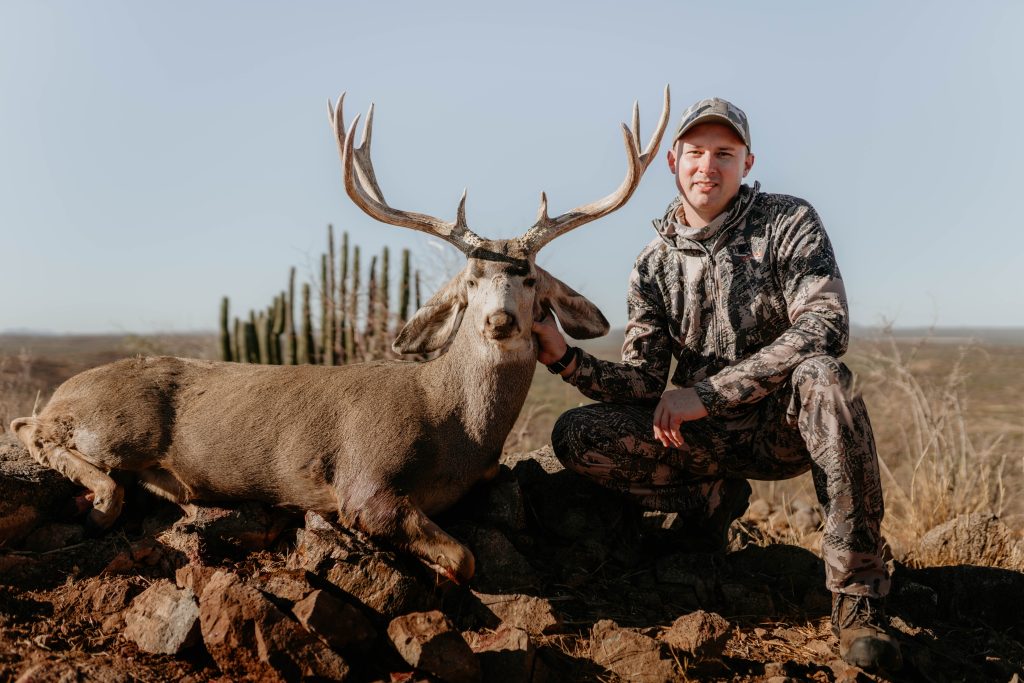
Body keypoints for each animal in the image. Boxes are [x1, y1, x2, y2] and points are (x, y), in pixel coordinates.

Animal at [8, 88, 669, 582]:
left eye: (529, 277)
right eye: (470, 280)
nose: (501, 321)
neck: (453, 424)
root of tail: (69, 388)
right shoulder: (364, 481)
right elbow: (462, 558)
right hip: (119, 425)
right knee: (34, 430)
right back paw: (100, 501)